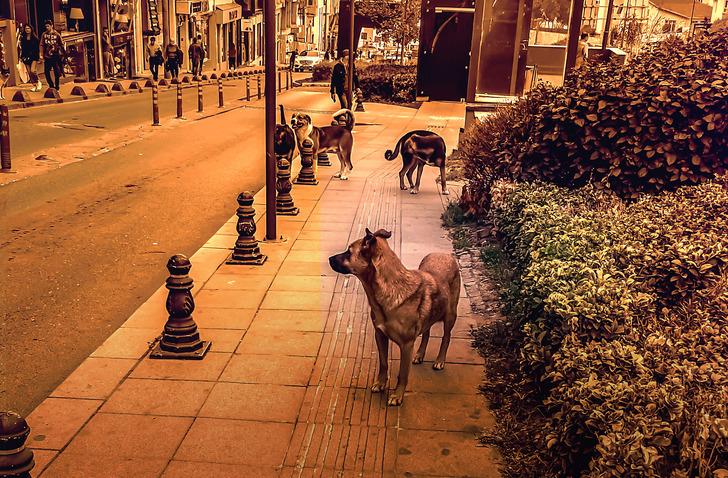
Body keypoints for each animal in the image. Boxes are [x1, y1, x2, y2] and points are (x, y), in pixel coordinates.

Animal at [330, 229, 460, 408]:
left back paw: (440, 360)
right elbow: (384, 363)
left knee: (446, 337)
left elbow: (402, 374)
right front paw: (380, 384)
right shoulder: (380, 335)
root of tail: (445, 254)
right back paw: (420, 354)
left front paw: (397, 396)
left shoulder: (406, 345)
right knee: (426, 333)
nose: (329, 259)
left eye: (349, 252)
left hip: (450, 316)